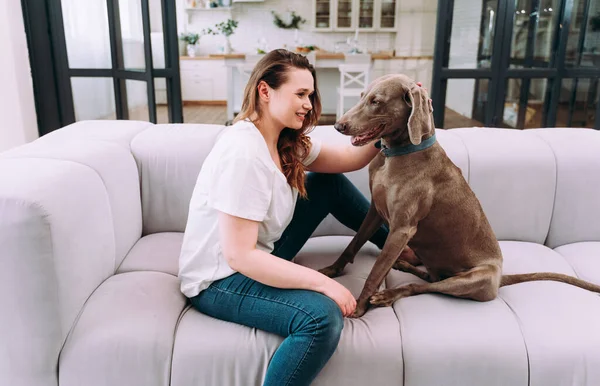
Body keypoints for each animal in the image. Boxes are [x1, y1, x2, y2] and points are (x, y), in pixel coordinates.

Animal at [322, 74, 600, 318]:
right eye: (361, 96)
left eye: (376, 101)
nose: (338, 126)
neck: (396, 155)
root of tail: (500, 278)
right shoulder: (375, 210)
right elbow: (354, 243)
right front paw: (332, 269)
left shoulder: (402, 229)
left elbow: (376, 270)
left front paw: (359, 306)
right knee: (428, 277)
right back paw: (404, 265)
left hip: (472, 278)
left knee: (422, 287)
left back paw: (388, 294)